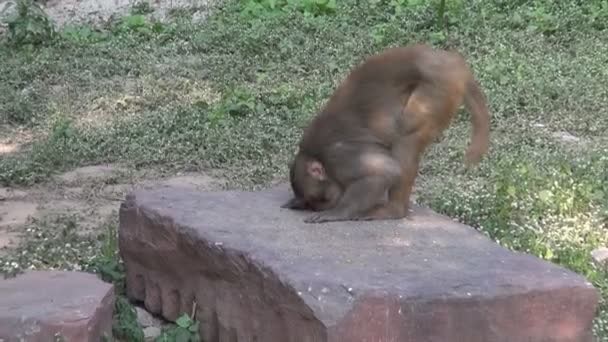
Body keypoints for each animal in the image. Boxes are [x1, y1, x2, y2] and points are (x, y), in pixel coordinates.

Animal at [282, 43, 492, 224]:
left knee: (406, 135)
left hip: (437, 89)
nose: (329, 204)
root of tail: (449, 59)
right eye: (316, 202)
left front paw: (338, 212)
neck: (315, 155)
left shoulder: (340, 156)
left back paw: (394, 210)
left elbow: (384, 171)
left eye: (323, 199)